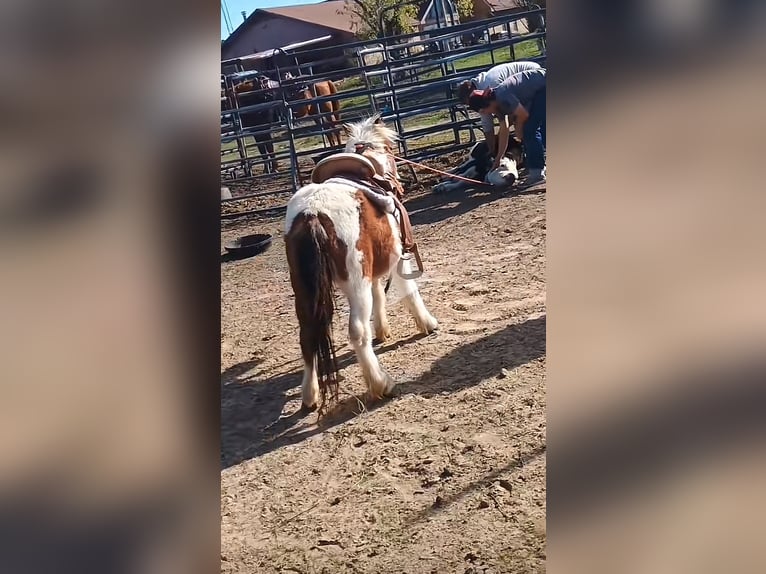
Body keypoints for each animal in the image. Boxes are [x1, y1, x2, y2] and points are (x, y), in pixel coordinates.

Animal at [284, 116, 438, 414]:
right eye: (390, 148)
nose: (397, 181)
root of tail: (312, 214)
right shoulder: (398, 257)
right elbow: (410, 292)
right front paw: (427, 323)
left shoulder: (374, 270)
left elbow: (380, 294)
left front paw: (383, 330)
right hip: (356, 285)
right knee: (357, 332)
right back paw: (380, 383)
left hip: (304, 292)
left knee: (307, 335)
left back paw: (310, 395)